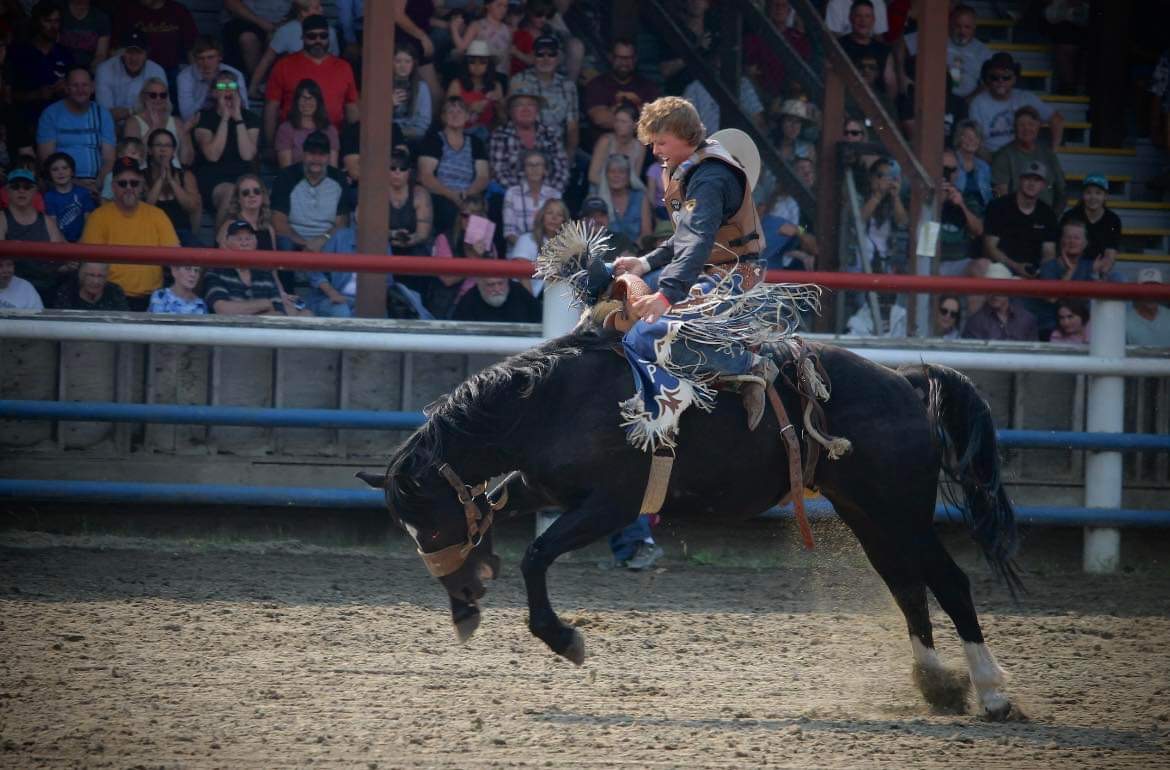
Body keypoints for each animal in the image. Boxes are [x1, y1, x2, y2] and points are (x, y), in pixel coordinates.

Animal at [357, 326, 1024, 719]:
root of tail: (905, 382)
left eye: (429, 527)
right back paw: (937, 684)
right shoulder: (536, 487)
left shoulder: (612, 504)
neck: (552, 402)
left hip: (900, 513)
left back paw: (992, 692)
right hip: (869, 516)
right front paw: (467, 609)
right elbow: (497, 508)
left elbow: (536, 555)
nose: (463, 590)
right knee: (907, 586)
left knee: (949, 582)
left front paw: (563, 638)